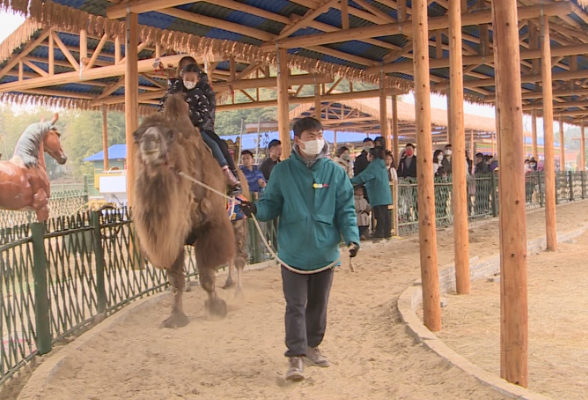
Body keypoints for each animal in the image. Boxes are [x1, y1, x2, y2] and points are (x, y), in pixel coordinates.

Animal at [132, 94, 235, 328]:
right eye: (136, 135)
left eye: (170, 134)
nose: (148, 141)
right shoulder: (173, 237)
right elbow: (176, 280)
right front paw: (176, 317)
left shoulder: (211, 227)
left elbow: (206, 274)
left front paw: (216, 308)